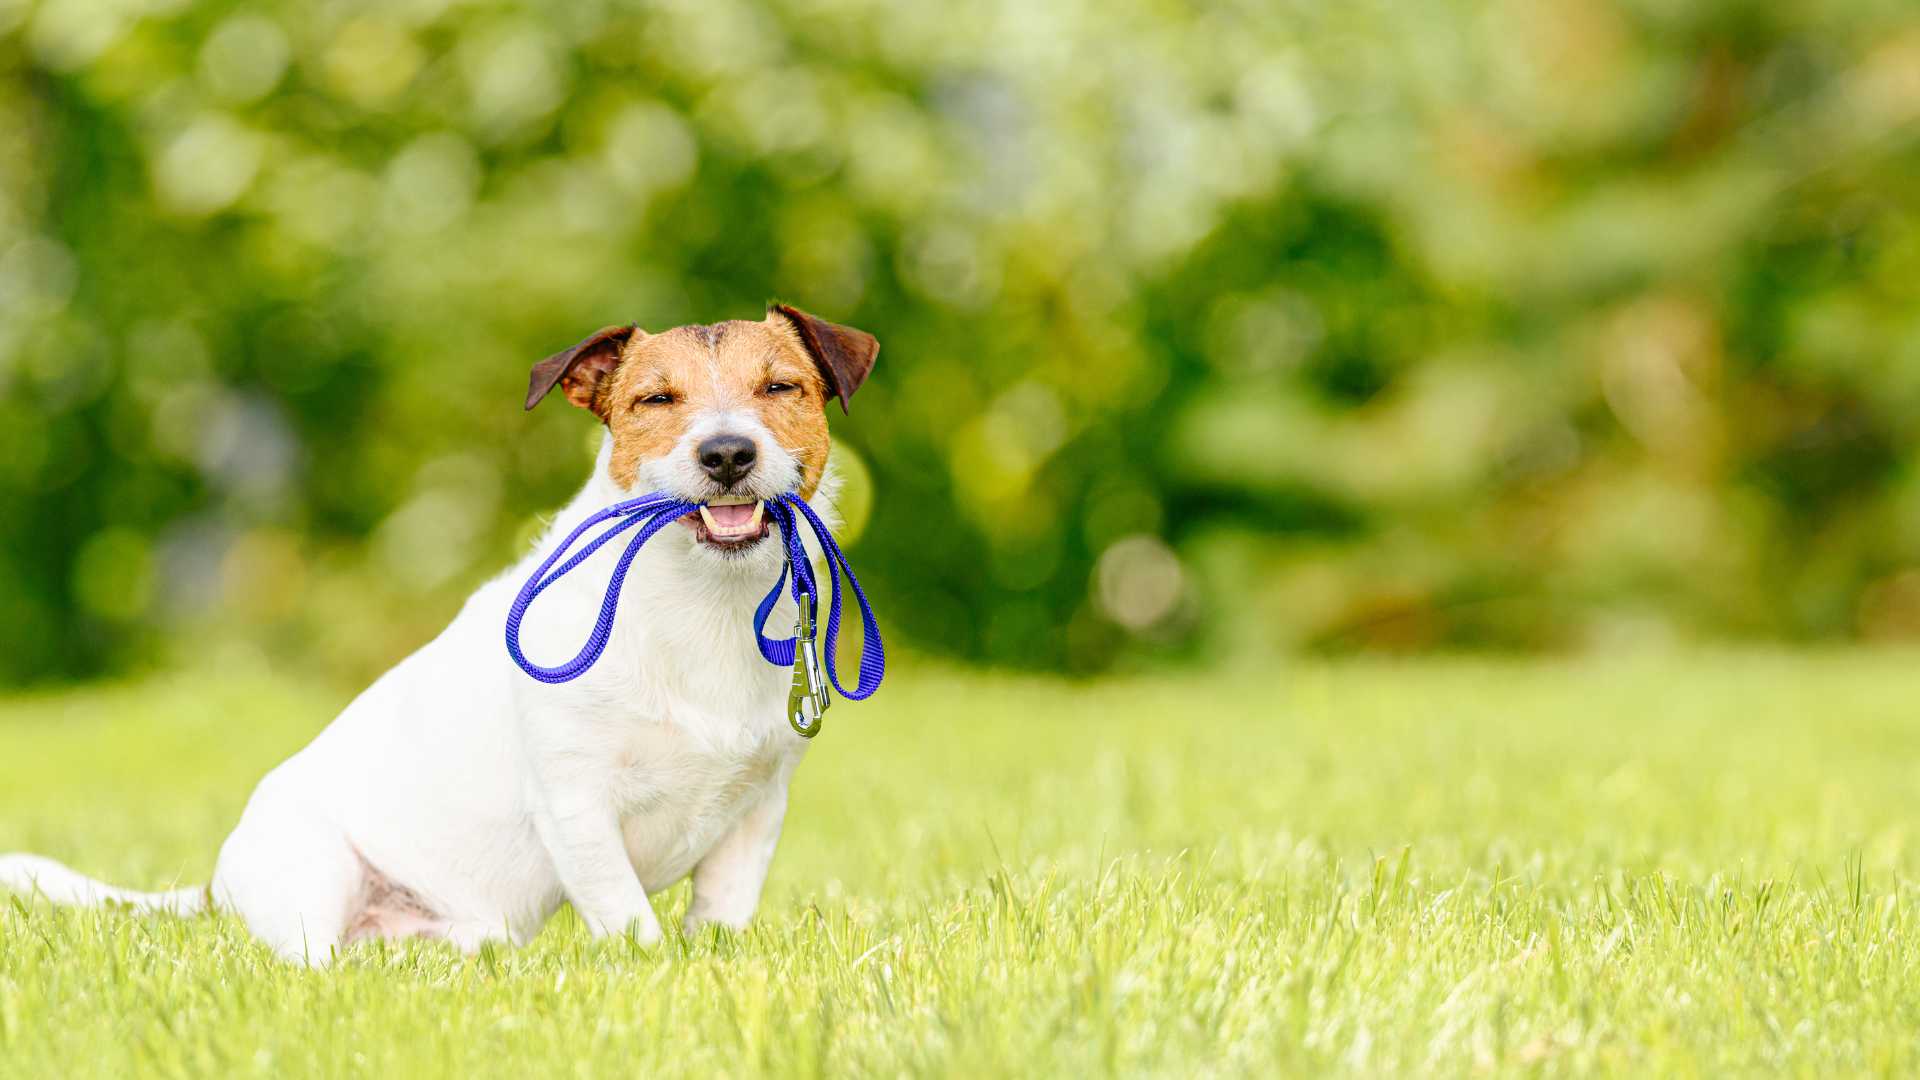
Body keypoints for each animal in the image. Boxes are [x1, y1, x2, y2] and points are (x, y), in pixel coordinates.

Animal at [0, 299, 879, 957]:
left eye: (780, 387)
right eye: (655, 400)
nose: (727, 453)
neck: (701, 606)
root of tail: (220, 887)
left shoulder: (759, 805)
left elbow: (721, 913)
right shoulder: (575, 800)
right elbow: (629, 919)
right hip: (316, 874)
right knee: (312, 963)